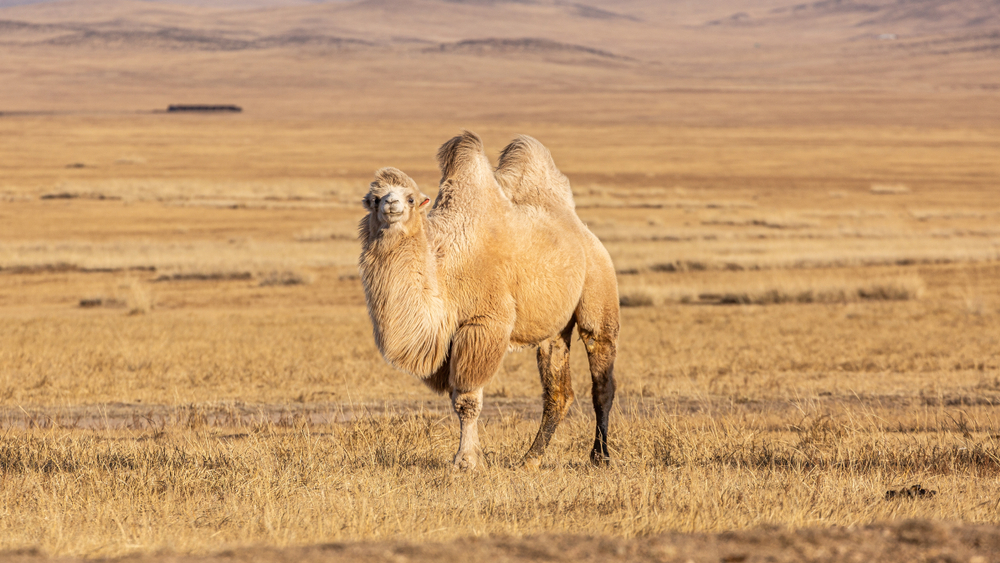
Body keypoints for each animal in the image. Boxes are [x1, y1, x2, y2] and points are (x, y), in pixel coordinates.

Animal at [358, 131, 619, 470]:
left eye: (411, 197)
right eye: (375, 198)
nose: (392, 204)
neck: (445, 267)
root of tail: (583, 231)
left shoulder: (483, 324)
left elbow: (467, 400)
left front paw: (466, 460)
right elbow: (458, 398)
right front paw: (470, 457)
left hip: (599, 288)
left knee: (602, 378)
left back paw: (600, 456)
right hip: (553, 329)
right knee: (558, 392)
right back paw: (530, 459)